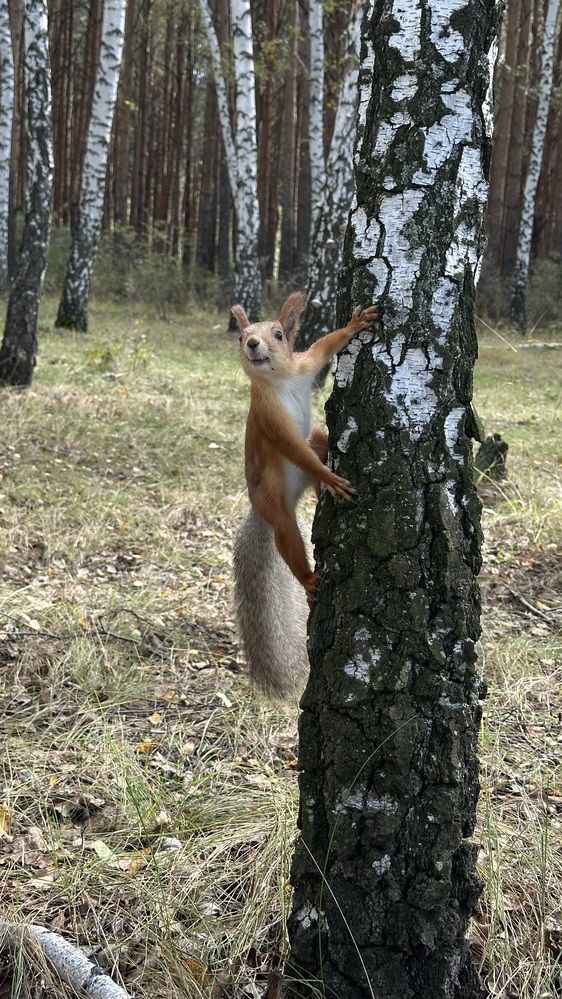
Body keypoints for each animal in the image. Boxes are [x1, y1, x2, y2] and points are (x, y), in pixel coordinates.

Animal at [231, 292, 377, 698]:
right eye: (240, 336)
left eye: (279, 334)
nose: (252, 343)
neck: (280, 380)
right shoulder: (269, 418)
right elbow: (293, 449)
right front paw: (332, 478)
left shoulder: (304, 367)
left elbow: (326, 347)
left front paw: (355, 323)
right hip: (274, 505)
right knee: (288, 538)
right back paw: (309, 579)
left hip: (316, 442)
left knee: (319, 443)